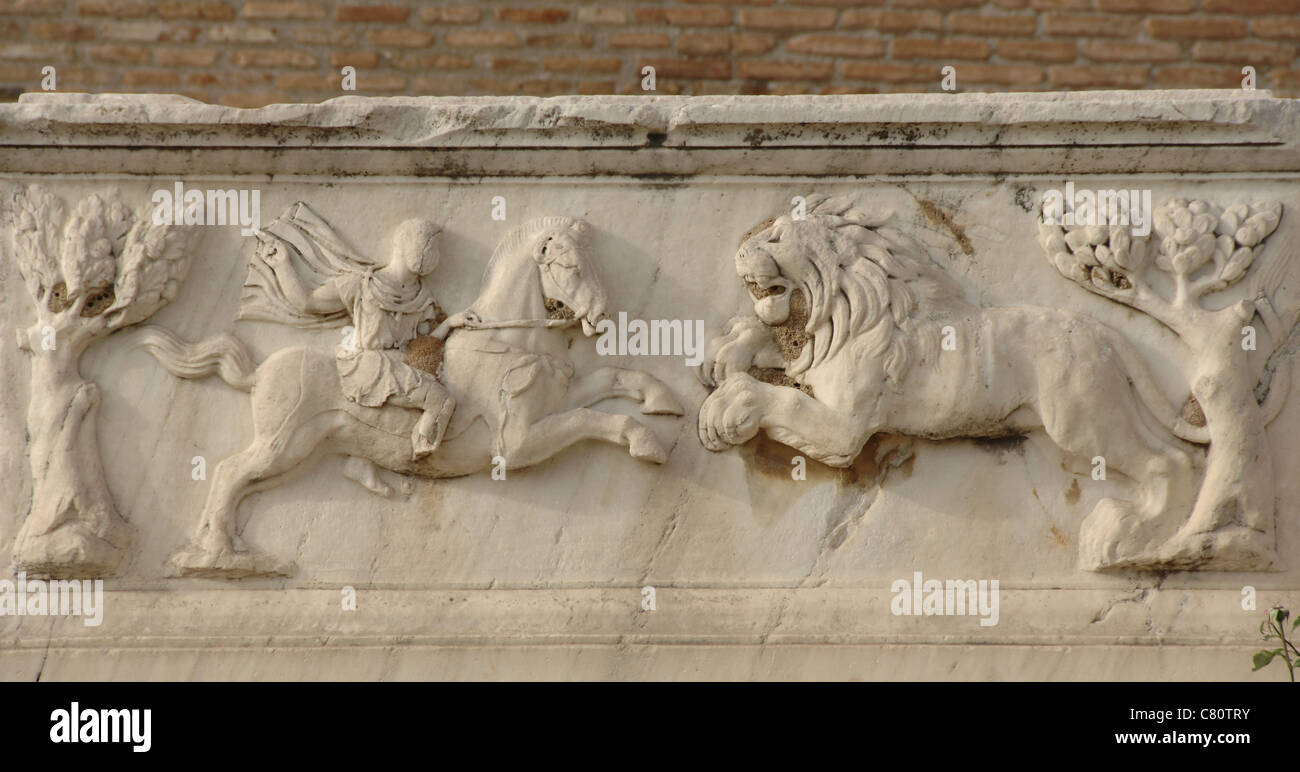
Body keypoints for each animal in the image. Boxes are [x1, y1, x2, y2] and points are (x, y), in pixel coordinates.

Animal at [134, 213, 681, 574]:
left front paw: (663, 400)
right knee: (229, 473)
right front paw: (647, 443)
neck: (512, 340)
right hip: (283, 444)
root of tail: (262, 369)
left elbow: (611, 378)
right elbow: (596, 420)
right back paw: (220, 557)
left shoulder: (556, 396)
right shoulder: (516, 444)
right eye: (569, 266)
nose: (602, 314)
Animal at [702, 194, 1206, 569]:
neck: (844, 312)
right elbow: (764, 342)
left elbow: (775, 398)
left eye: (775, 235)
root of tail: (1105, 334)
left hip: (1081, 418)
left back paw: (1128, 539)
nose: (740, 250)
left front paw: (721, 415)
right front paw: (722, 357)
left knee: (1169, 461)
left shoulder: (844, 429)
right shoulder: (810, 359)